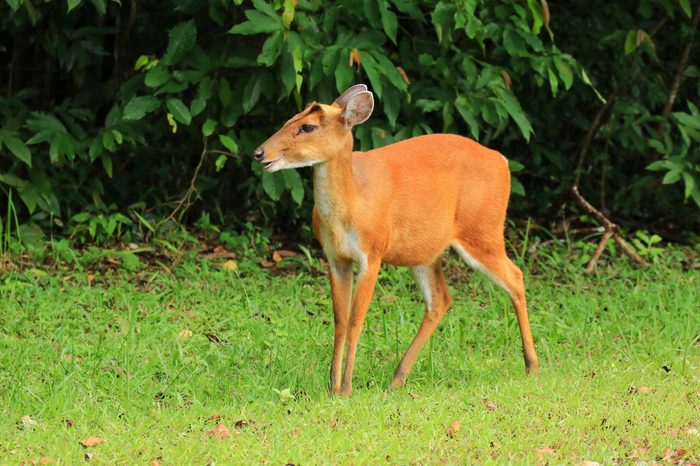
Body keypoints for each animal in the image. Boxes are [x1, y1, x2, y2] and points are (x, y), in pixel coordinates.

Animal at [253, 84, 539, 396]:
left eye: (307, 126)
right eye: (288, 119)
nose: (259, 152)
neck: (352, 201)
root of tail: (502, 161)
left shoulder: (373, 251)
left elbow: (356, 321)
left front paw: (346, 388)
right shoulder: (335, 257)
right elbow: (340, 320)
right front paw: (332, 386)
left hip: (483, 230)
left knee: (516, 277)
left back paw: (531, 366)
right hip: (426, 250)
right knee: (441, 299)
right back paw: (396, 378)